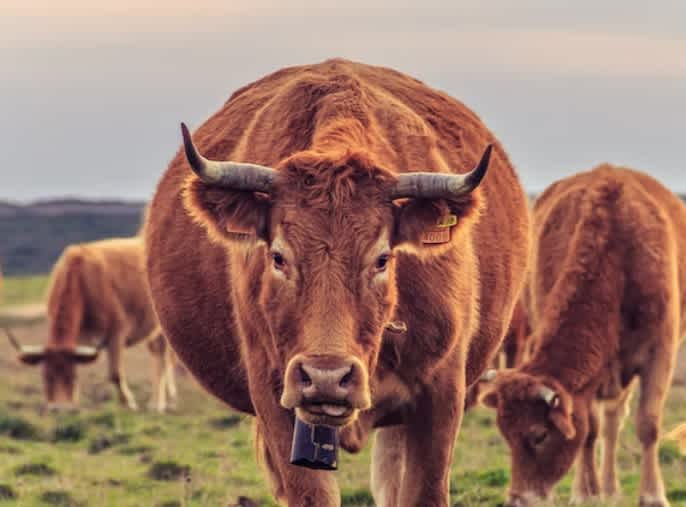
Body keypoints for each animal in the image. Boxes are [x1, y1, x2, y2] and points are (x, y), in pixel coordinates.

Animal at [6, 238, 177, 412]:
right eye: (46, 377)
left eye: (71, 377)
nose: (60, 408)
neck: (81, 280)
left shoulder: (116, 333)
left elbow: (115, 374)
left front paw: (128, 402)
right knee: (160, 356)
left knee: (164, 360)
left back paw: (157, 403)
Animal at [484, 167, 686, 507]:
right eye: (505, 434)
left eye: (539, 435)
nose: (518, 499)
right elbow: (588, 430)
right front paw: (584, 492)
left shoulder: (660, 353)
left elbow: (648, 424)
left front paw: (652, 495)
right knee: (608, 424)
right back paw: (606, 487)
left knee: (615, 421)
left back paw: (612, 486)